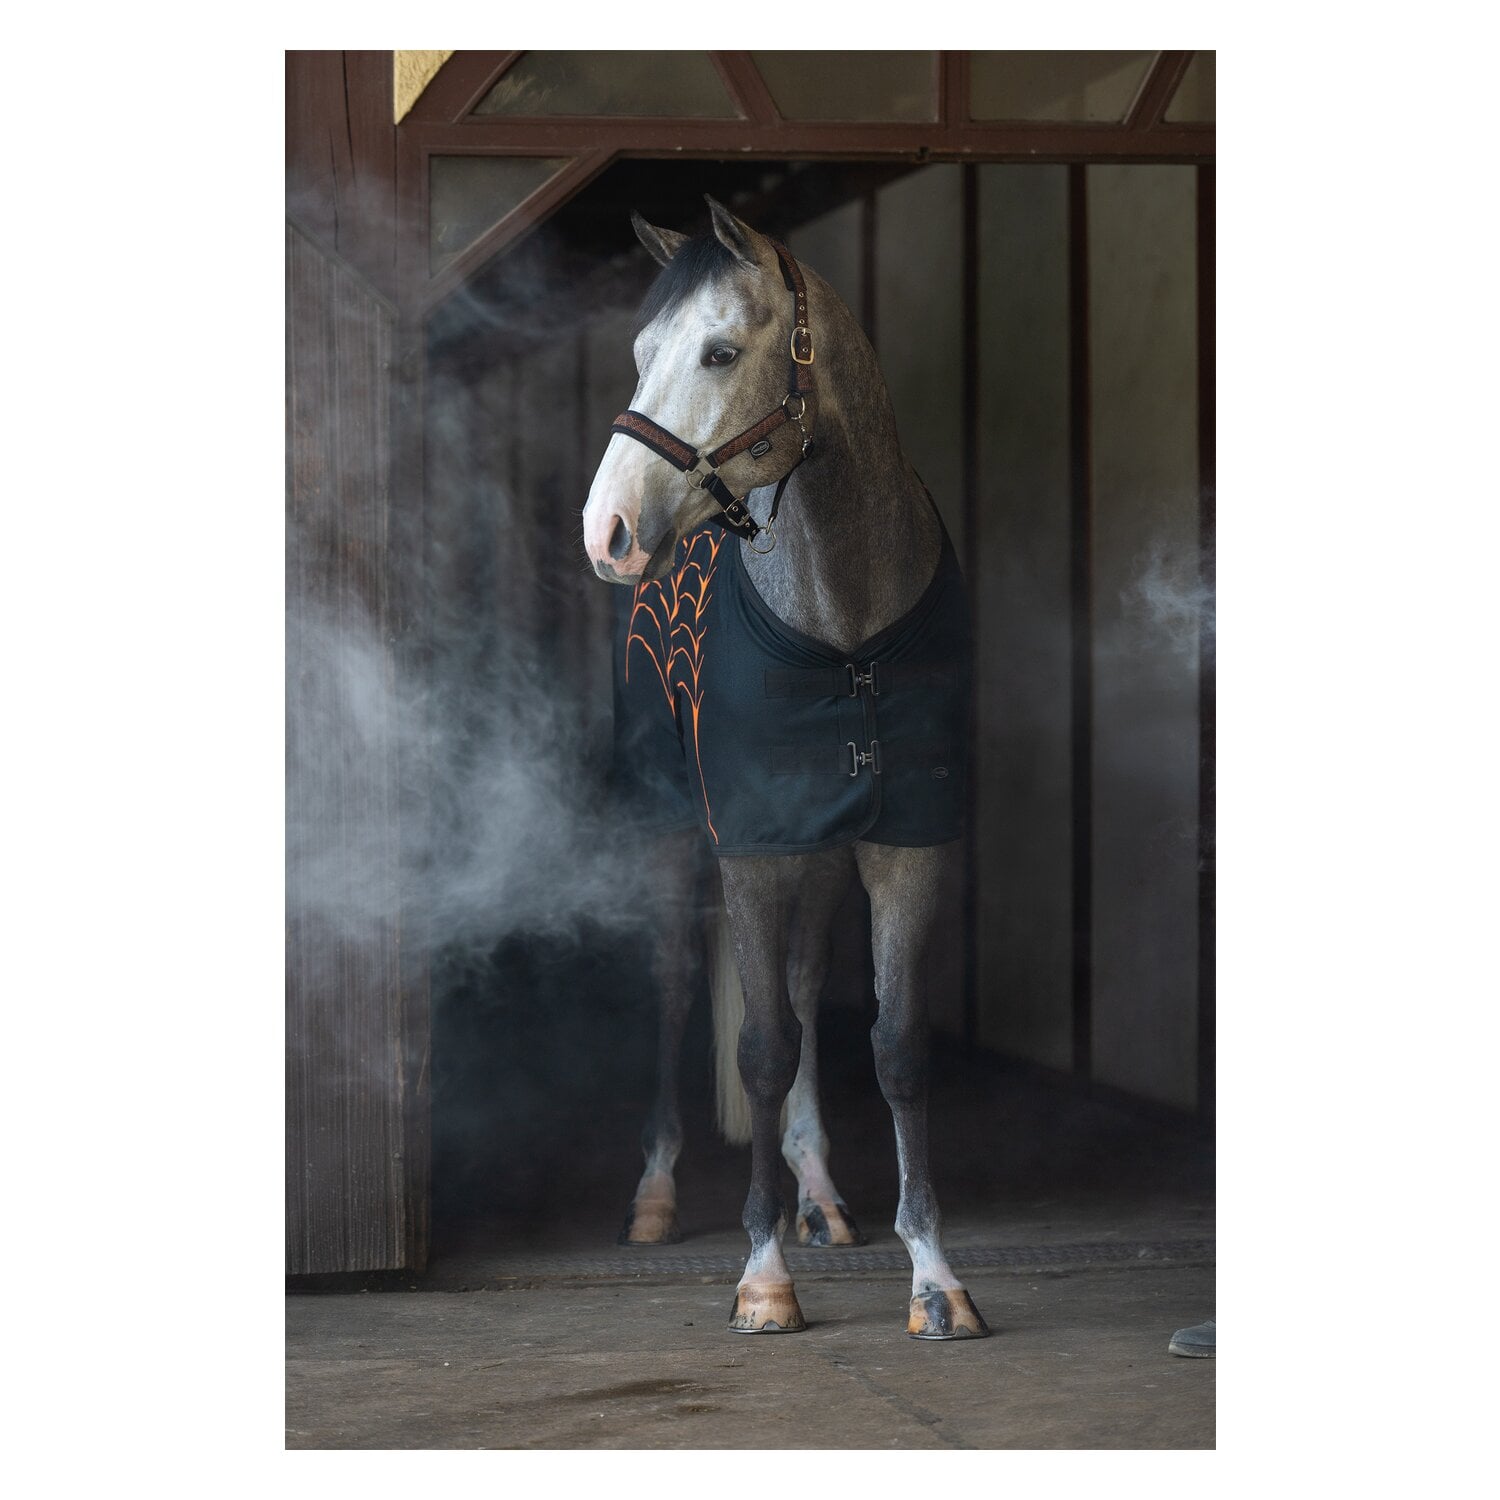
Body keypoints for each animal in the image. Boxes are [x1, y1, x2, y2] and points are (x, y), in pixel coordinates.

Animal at [582, 196, 988, 1341]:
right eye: (640, 355)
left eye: (720, 352)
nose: (606, 531)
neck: (845, 633)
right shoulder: (753, 851)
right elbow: (759, 1048)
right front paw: (762, 1278)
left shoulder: (906, 849)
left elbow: (894, 1047)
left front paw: (933, 1274)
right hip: (675, 834)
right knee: (679, 986)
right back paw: (657, 1193)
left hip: (818, 859)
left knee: (806, 992)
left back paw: (819, 1193)